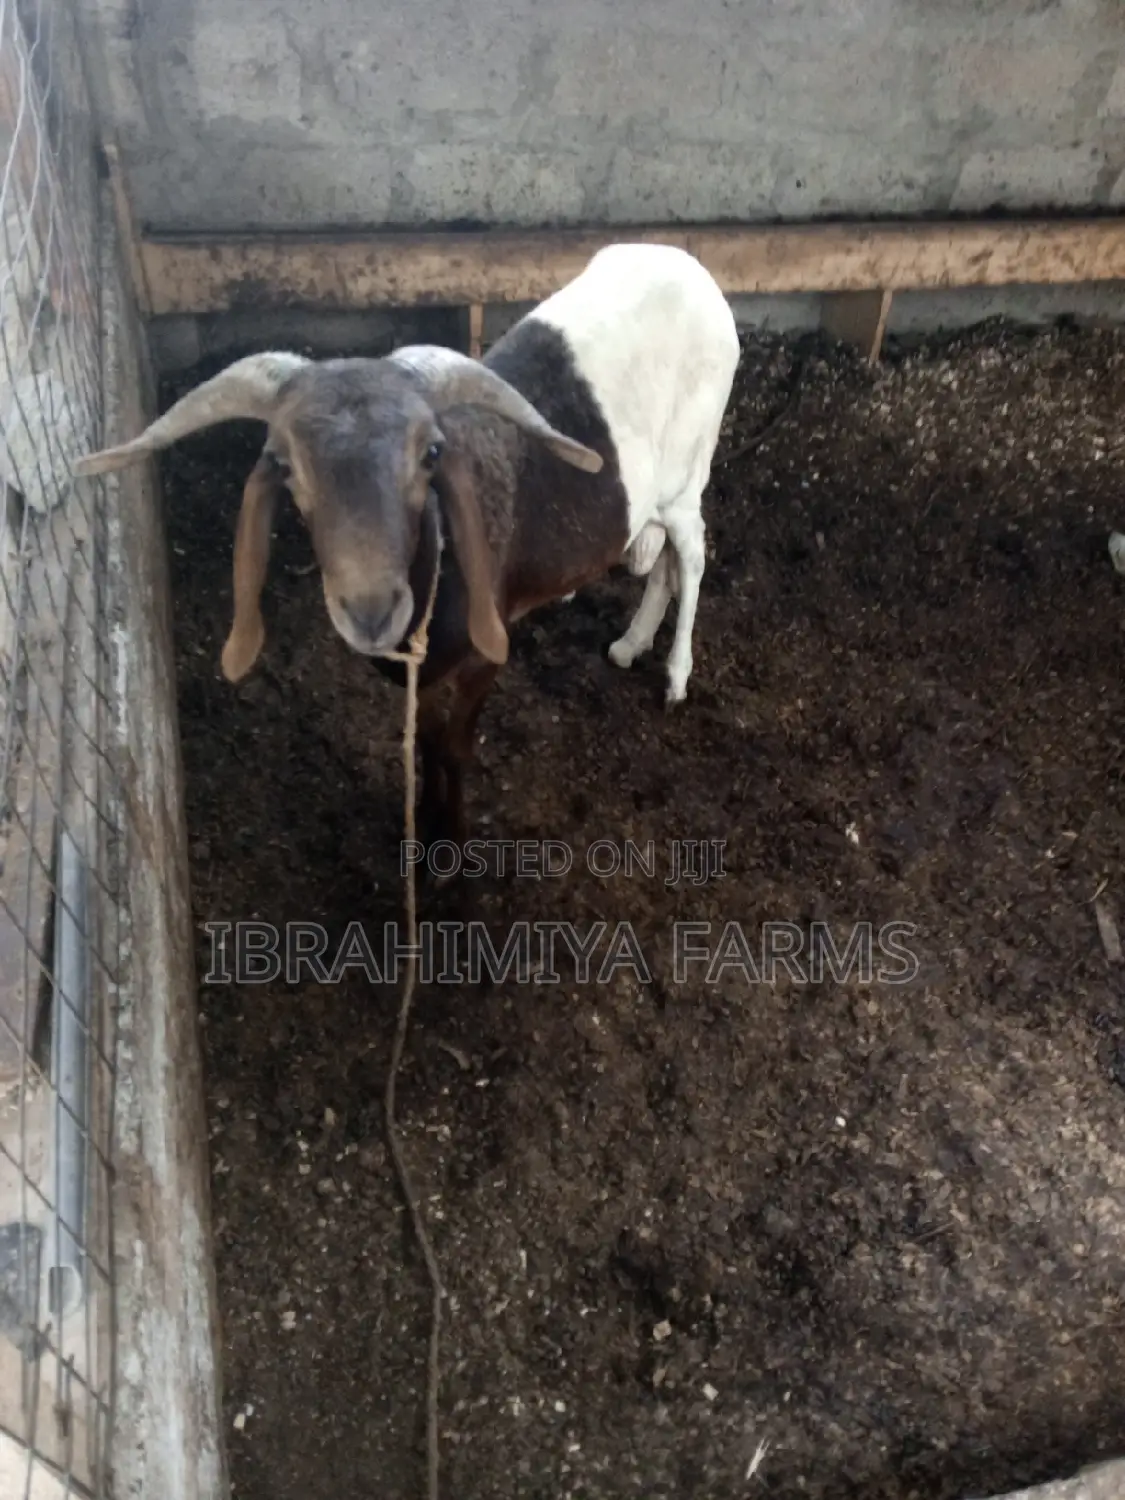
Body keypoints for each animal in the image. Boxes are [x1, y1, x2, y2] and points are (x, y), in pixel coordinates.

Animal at [73, 242, 740, 852]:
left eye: (431, 454)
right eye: (285, 466)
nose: (371, 611)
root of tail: (692, 268)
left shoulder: (486, 652)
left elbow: (453, 749)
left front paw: (455, 844)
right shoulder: (420, 680)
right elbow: (423, 744)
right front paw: (424, 830)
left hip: (687, 472)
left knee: (691, 556)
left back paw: (675, 674)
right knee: (665, 561)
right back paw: (630, 644)